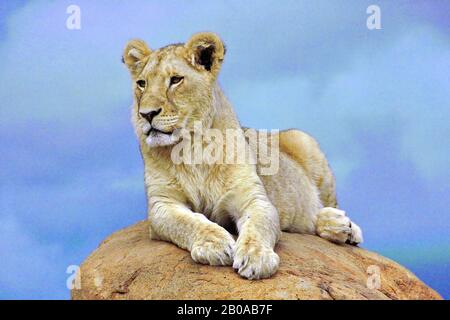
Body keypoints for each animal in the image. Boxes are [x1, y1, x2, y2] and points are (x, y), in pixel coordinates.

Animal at [122, 31, 362, 278]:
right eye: (142, 84)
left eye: (175, 80)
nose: (146, 114)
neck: (190, 148)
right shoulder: (162, 204)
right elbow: (187, 222)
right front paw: (215, 245)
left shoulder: (253, 198)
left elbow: (257, 226)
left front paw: (256, 258)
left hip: (304, 140)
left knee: (327, 207)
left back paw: (343, 227)